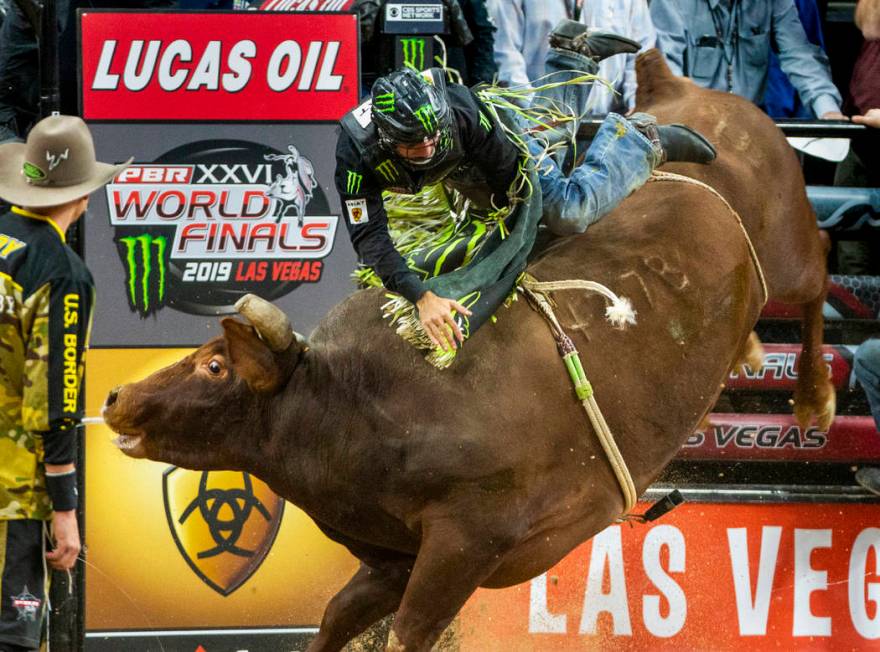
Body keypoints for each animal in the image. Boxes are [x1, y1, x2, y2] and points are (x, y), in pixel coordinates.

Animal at [103, 52, 832, 652]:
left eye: (214, 365)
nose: (115, 396)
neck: (347, 402)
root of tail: (685, 90)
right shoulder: (391, 558)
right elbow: (336, 618)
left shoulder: (466, 543)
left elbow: (409, 635)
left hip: (787, 251)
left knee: (819, 271)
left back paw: (814, 398)